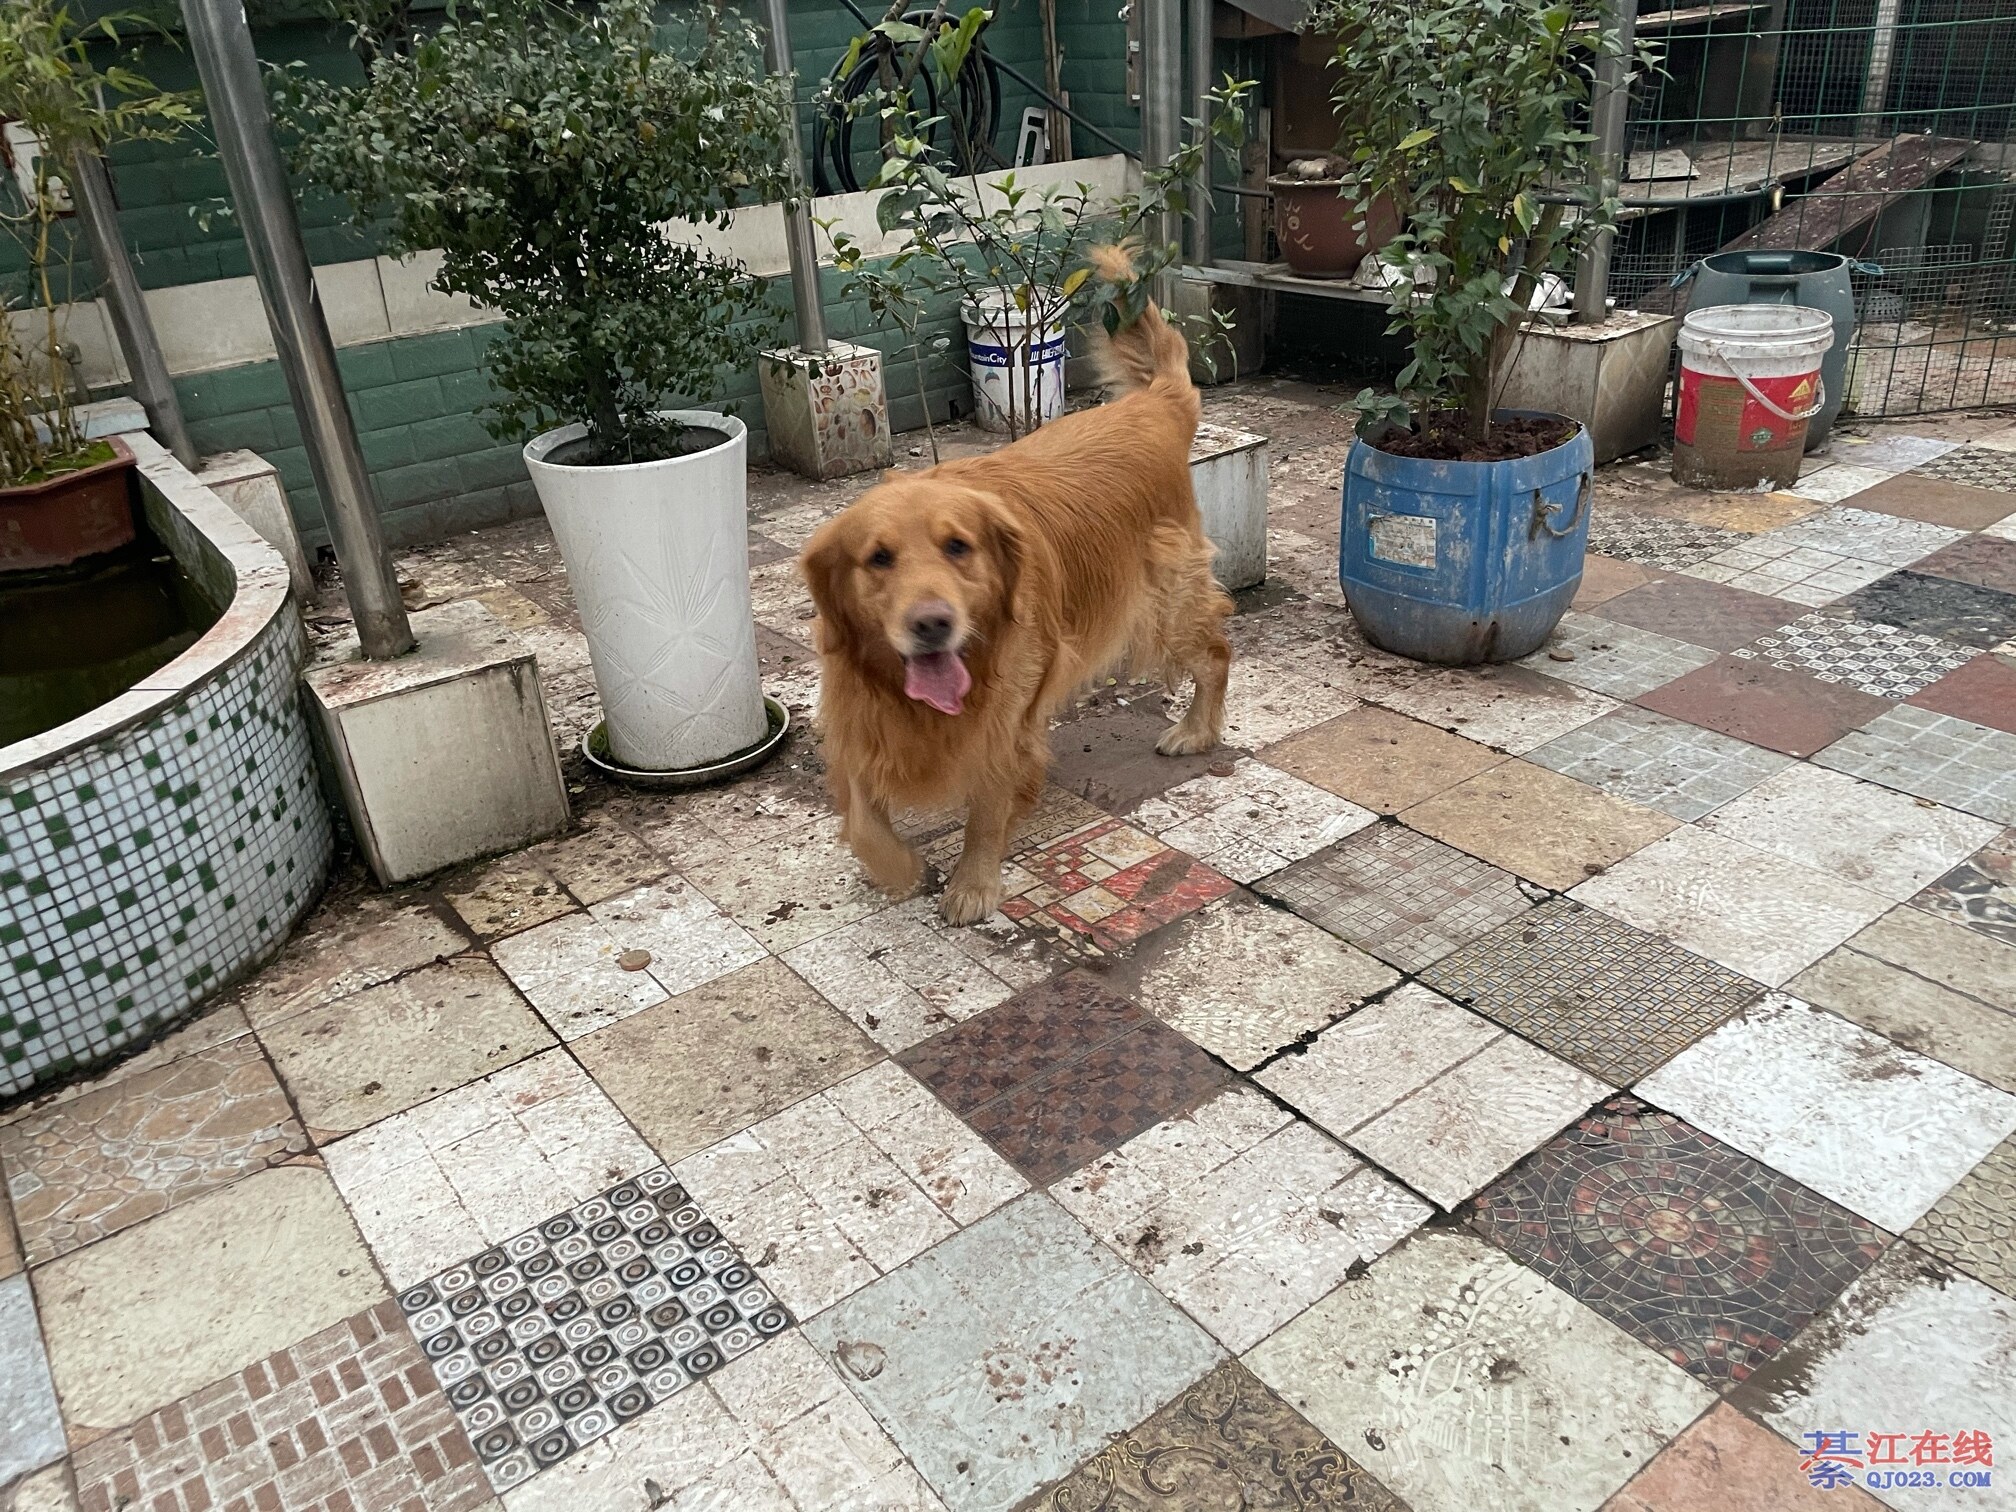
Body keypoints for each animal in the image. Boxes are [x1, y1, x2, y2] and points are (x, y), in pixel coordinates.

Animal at [799, 267, 1233, 925]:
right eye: (878, 558)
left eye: (958, 546)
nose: (932, 624)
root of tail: (1153, 404)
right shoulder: (857, 714)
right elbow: (865, 819)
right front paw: (901, 870)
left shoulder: (1002, 720)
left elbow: (988, 805)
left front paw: (973, 882)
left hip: (1163, 606)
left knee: (1214, 653)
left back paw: (1197, 730)